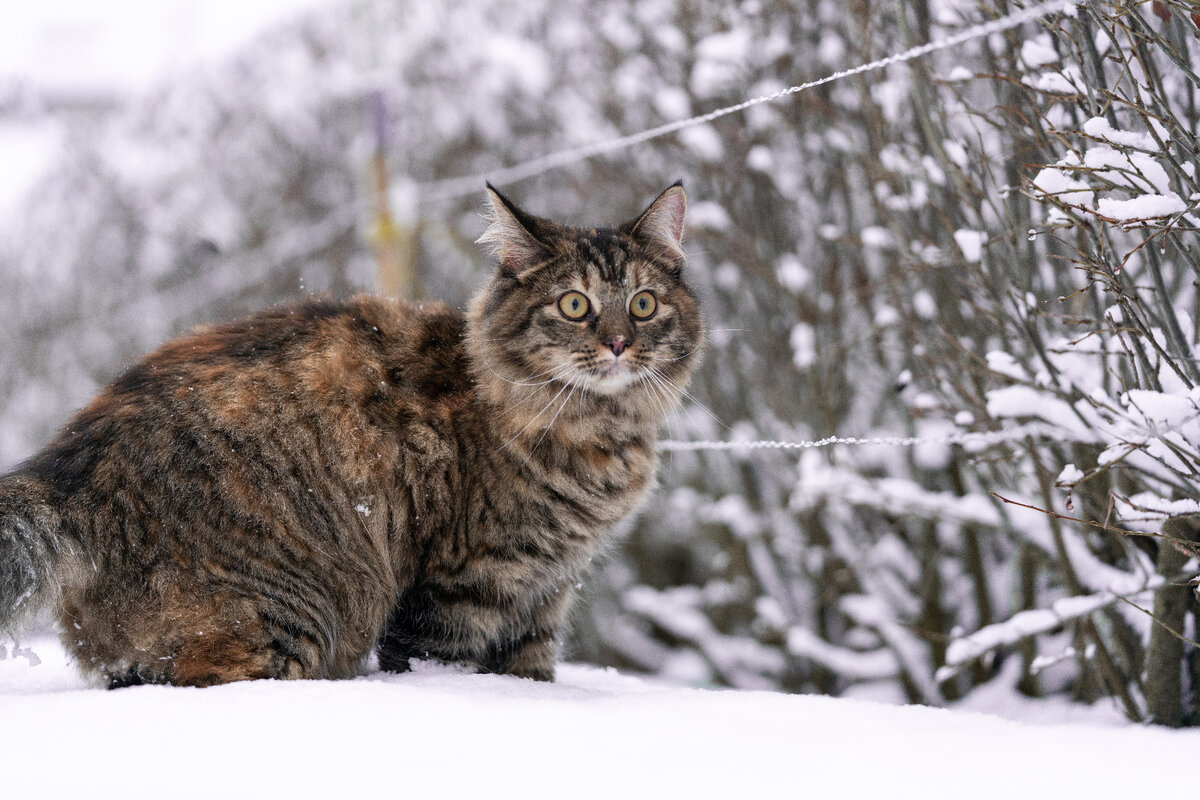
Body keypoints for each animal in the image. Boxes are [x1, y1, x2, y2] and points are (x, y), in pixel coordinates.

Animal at [0, 181, 700, 690]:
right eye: (574, 305)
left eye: (643, 304)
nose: (619, 343)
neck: (598, 433)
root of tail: (69, 467)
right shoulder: (463, 584)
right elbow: (443, 666)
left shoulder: (545, 594)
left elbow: (532, 672)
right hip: (283, 615)